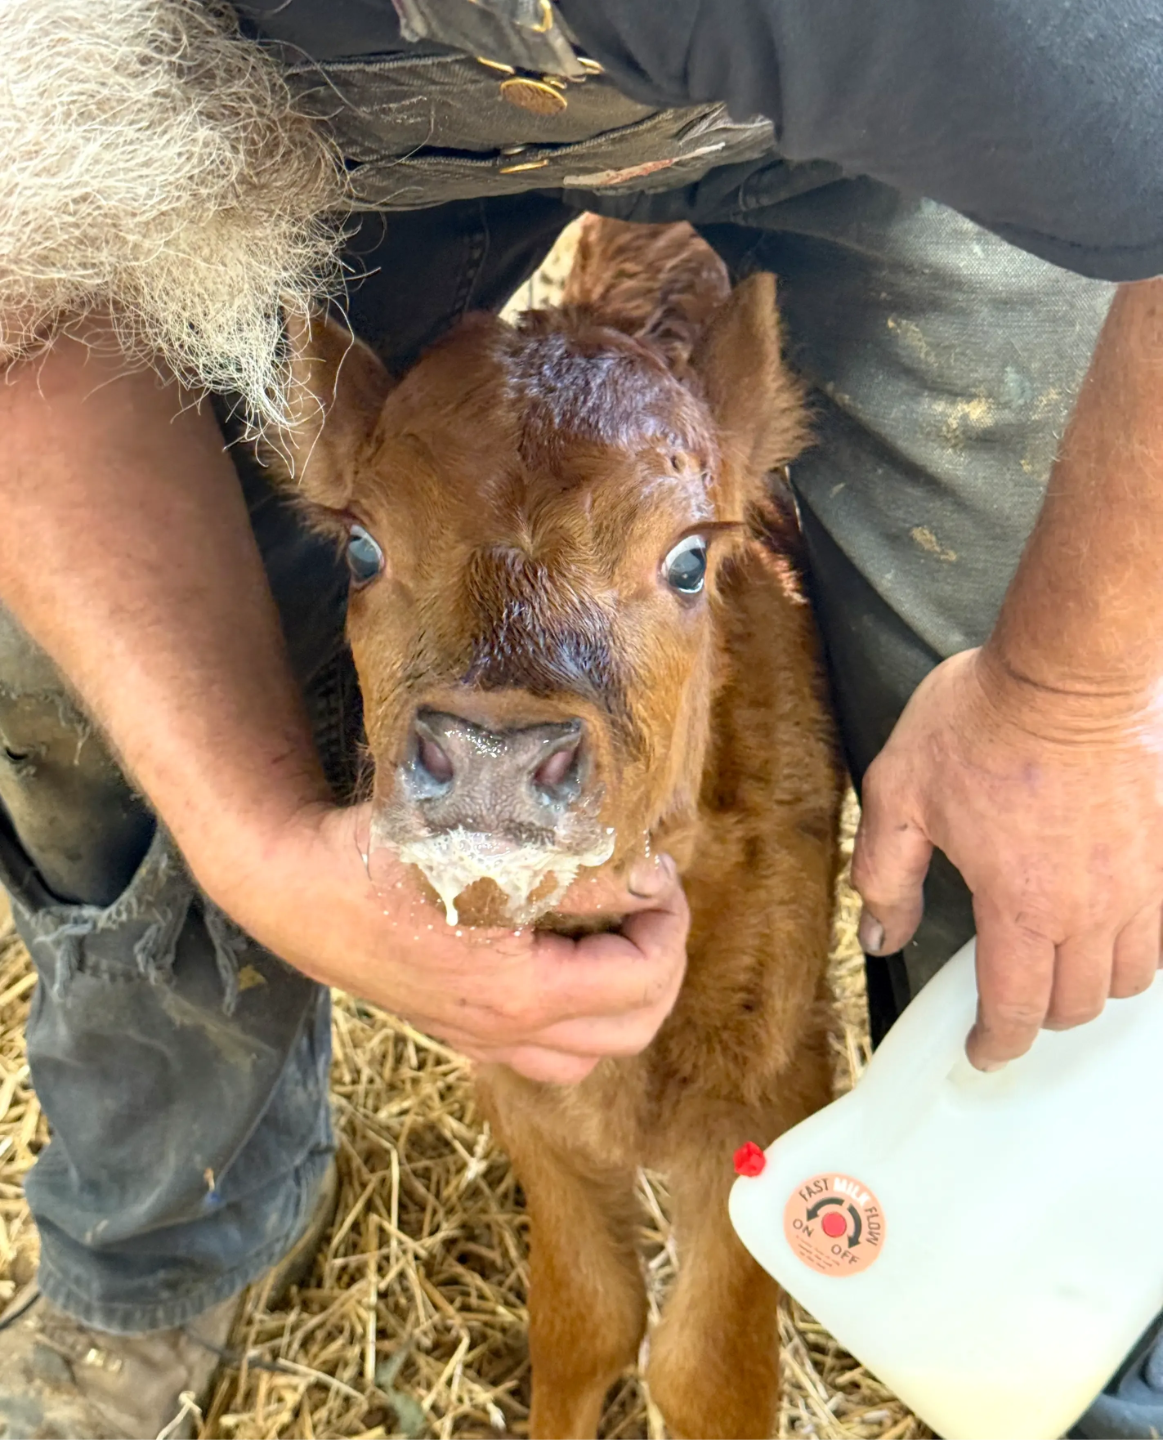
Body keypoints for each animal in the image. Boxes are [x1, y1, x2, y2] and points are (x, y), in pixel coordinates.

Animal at [277, 216, 843, 1440]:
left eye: (688, 559)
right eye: (361, 551)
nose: (493, 751)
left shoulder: (774, 1085)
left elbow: (708, 1370)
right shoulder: (519, 1083)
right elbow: (586, 1317)